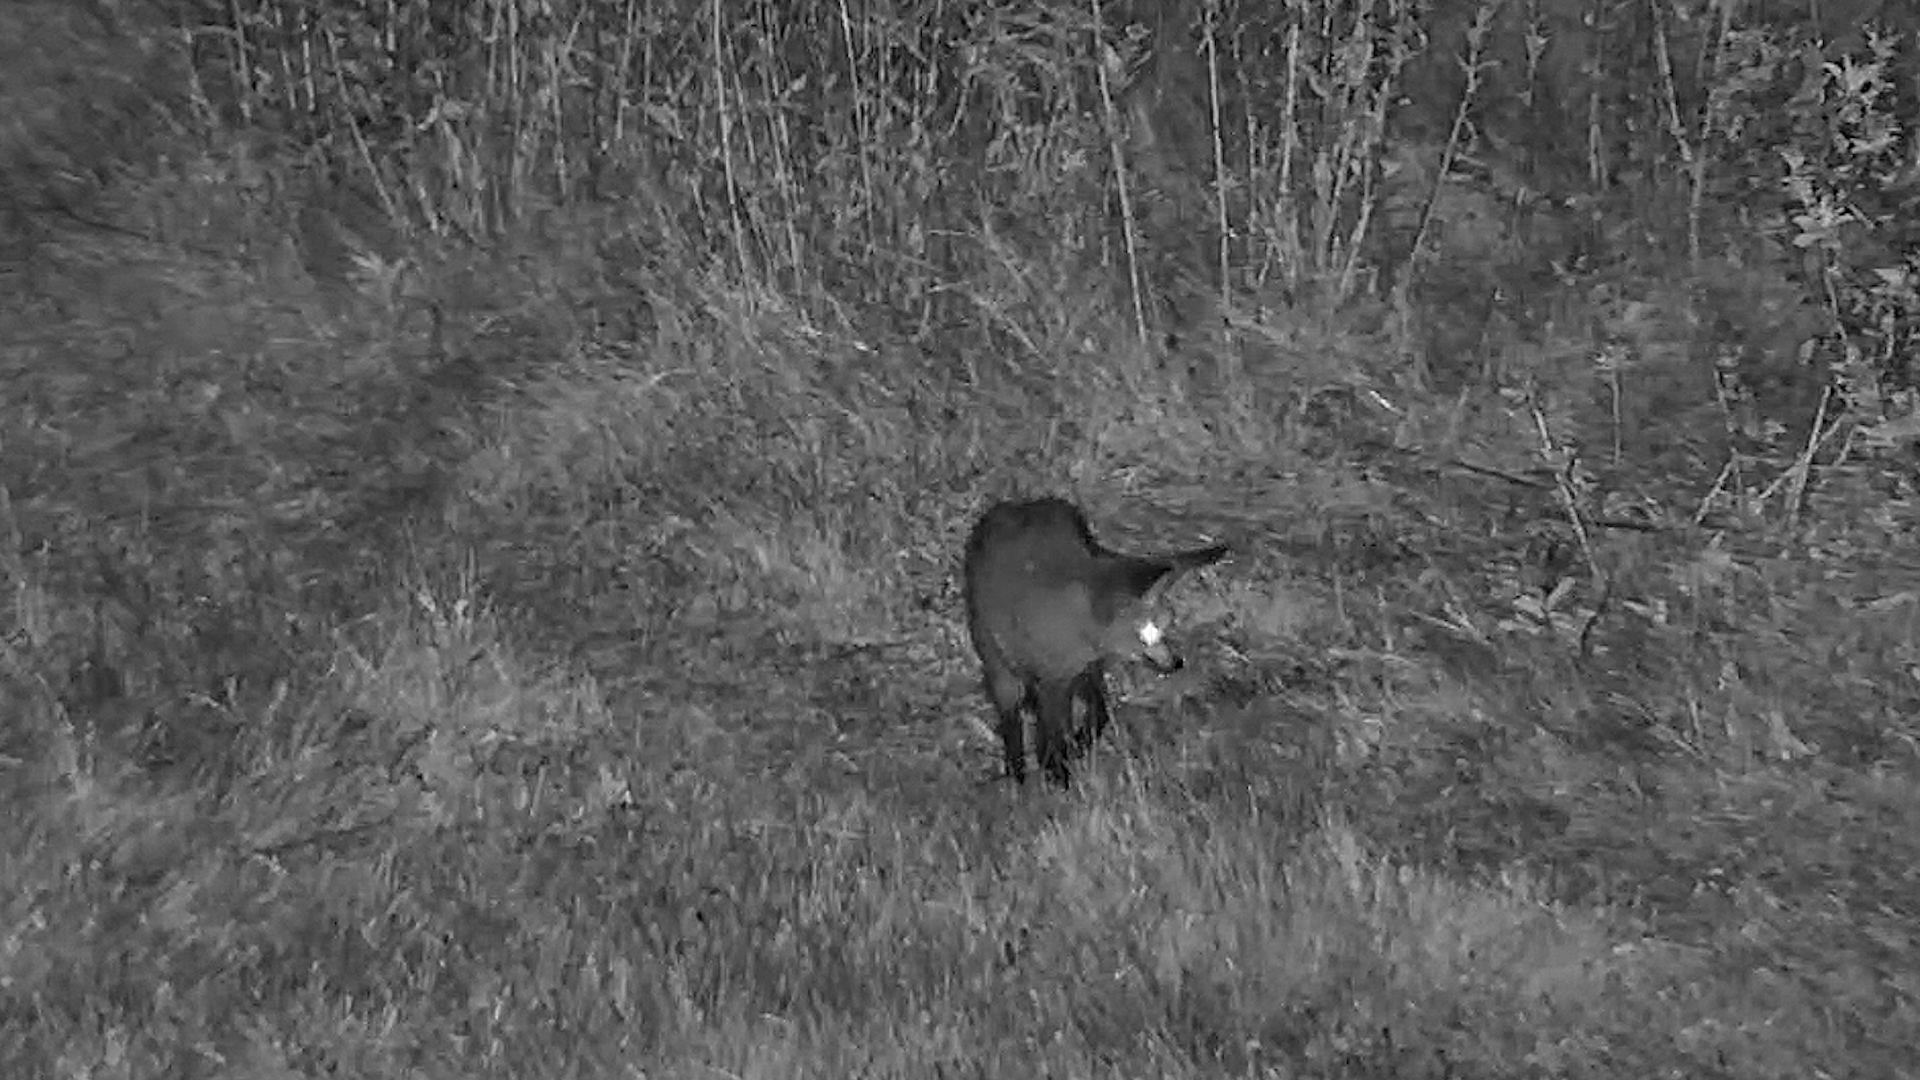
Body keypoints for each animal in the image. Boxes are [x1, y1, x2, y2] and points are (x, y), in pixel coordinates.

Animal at [961, 497, 1229, 788]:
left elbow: (1098, 711)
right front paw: (1056, 776)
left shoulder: (1078, 668)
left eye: (1163, 628)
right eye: (1142, 637)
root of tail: (1019, 503)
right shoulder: (1051, 675)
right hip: (993, 646)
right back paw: (1020, 770)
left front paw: (1071, 752)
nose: (1175, 663)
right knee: (1012, 705)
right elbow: (1049, 727)